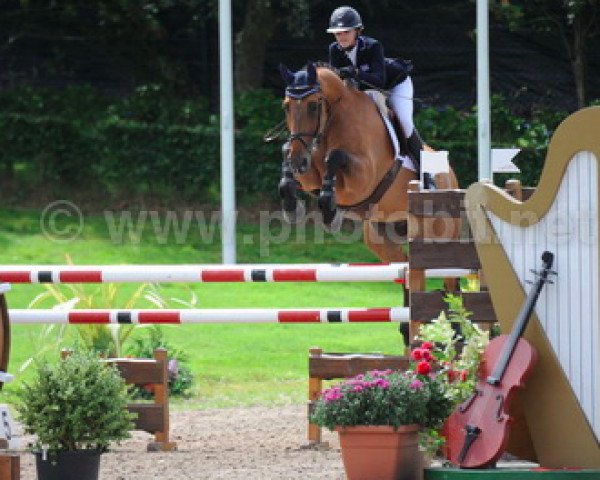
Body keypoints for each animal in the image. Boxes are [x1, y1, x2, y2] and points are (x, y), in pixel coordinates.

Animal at [278, 62, 460, 264]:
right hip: (383, 234)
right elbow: (289, 163)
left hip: (440, 232)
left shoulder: (362, 179)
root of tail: (451, 175)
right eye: (286, 106)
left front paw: (330, 212)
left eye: (312, 106)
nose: (297, 161)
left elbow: (334, 157)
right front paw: (292, 208)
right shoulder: (310, 176)